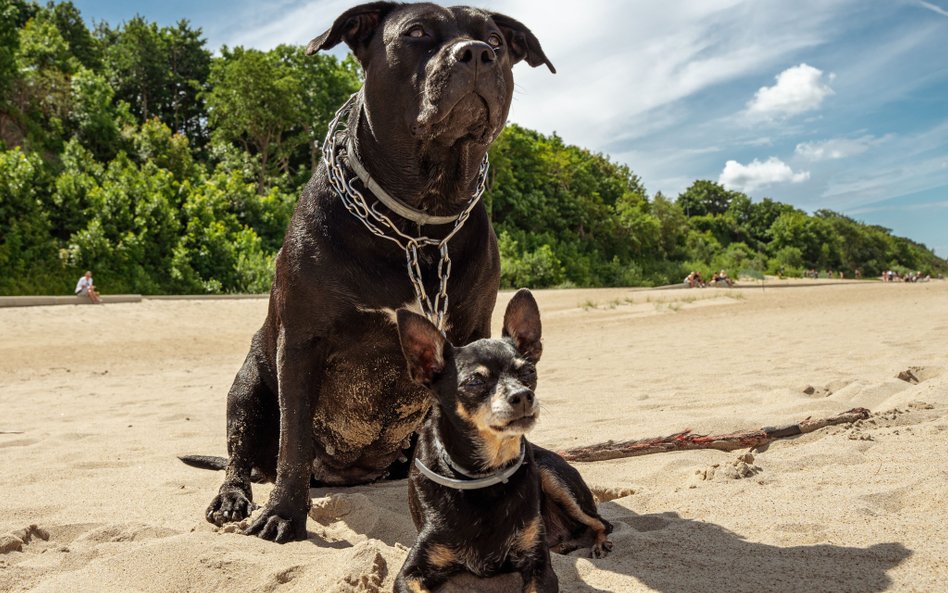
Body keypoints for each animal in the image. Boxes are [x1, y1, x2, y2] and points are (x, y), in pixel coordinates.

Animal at [193, 3, 556, 540]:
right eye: (417, 32)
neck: (417, 220)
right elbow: (293, 440)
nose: (476, 53)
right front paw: (283, 513)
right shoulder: (300, 342)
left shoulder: (472, 326)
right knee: (242, 454)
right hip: (248, 385)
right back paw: (234, 497)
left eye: (495, 39)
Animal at [394, 290, 612, 592]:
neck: (485, 476)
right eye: (475, 382)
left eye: (528, 371)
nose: (523, 396)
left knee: (601, 522)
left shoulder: (539, 567)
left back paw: (599, 543)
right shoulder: (410, 573)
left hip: (553, 477)